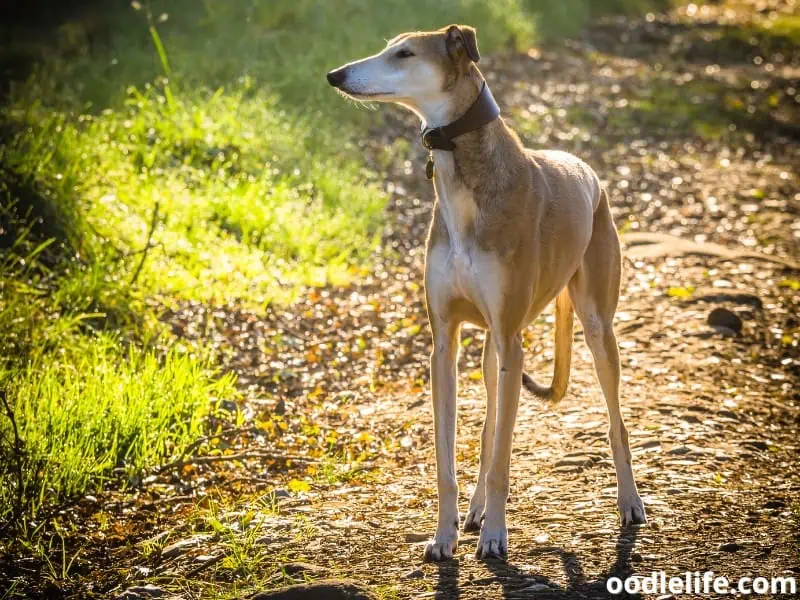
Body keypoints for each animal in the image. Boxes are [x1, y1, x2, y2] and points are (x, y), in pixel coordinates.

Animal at [324, 24, 644, 564]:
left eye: (404, 53)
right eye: (389, 46)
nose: (335, 75)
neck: (464, 179)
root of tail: (585, 169)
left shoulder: (513, 342)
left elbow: (502, 460)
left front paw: (496, 535)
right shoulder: (444, 346)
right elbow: (451, 457)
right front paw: (445, 534)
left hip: (594, 329)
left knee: (614, 423)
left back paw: (629, 503)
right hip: (492, 354)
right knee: (491, 426)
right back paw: (473, 512)